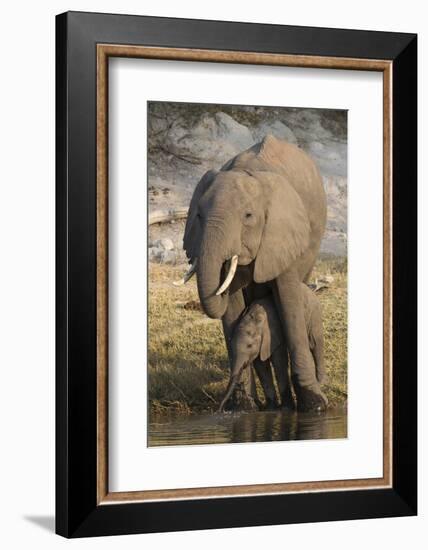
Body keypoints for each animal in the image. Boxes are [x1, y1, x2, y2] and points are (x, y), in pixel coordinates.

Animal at [219, 284, 326, 414]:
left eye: (249, 346)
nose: (221, 409)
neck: (255, 320)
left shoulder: (273, 333)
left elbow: (278, 360)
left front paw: (285, 408)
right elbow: (261, 364)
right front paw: (270, 408)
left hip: (313, 311)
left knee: (315, 343)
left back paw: (320, 381)